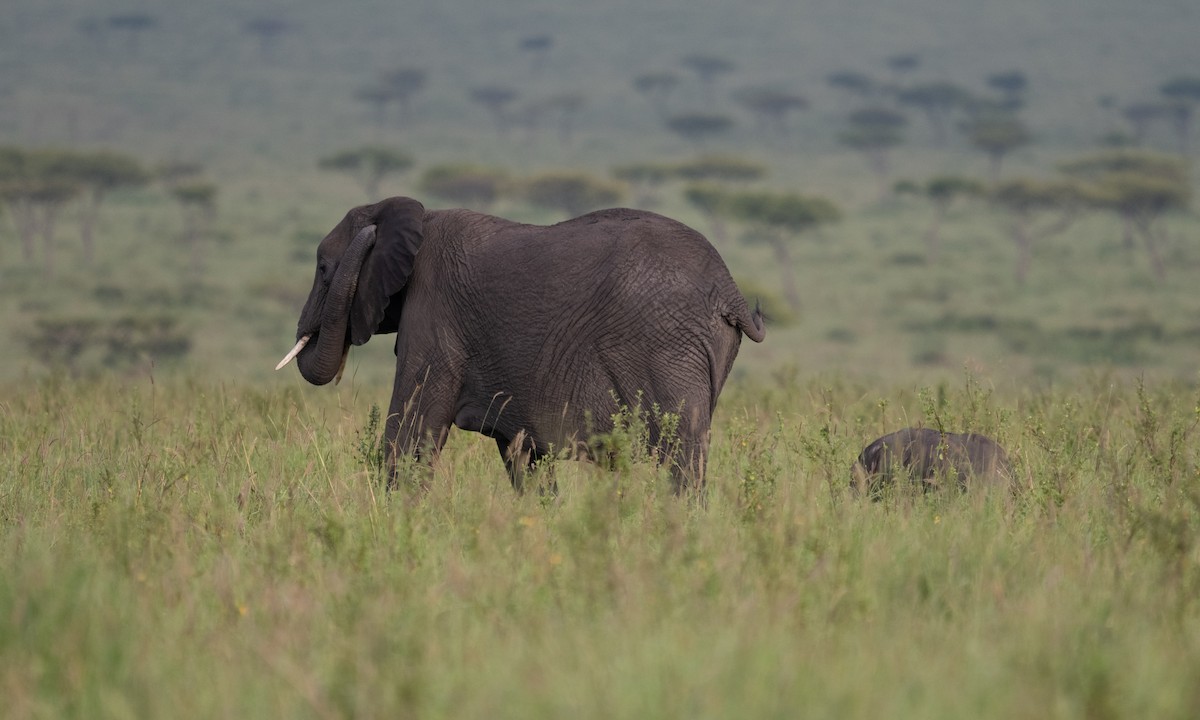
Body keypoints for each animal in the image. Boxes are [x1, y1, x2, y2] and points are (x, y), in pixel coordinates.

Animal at [276, 196, 765, 493]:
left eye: (323, 268)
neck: (417, 217)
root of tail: (730, 291)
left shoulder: (434, 314)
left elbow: (411, 434)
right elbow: (523, 456)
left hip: (667, 347)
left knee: (680, 450)